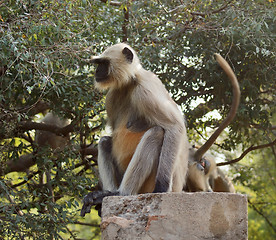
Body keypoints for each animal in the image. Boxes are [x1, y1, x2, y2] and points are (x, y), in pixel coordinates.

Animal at [80, 42, 190, 216]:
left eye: (103, 63)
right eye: (98, 64)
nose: (96, 72)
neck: (129, 82)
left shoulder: (145, 90)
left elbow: (175, 127)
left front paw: (161, 188)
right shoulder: (111, 97)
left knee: (156, 133)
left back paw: (121, 193)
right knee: (104, 142)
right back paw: (106, 196)